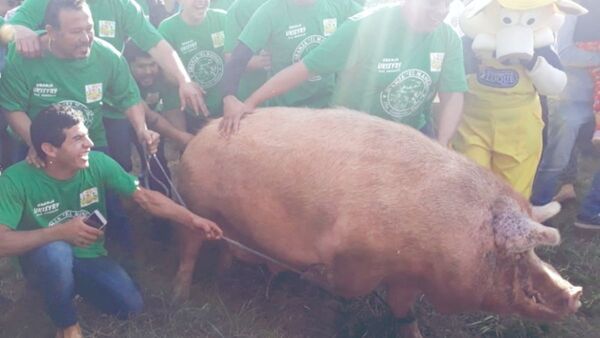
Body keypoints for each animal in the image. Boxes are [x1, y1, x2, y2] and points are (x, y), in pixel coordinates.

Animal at [172, 107, 580, 336]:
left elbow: (402, 308)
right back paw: (183, 293)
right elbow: (347, 288)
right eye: (516, 254)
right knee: (191, 244)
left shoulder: (406, 274)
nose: (575, 293)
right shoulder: (356, 256)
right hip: (197, 203)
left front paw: (414, 333)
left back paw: (227, 275)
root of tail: (198, 135)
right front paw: (314, 280)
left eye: (533, 253)